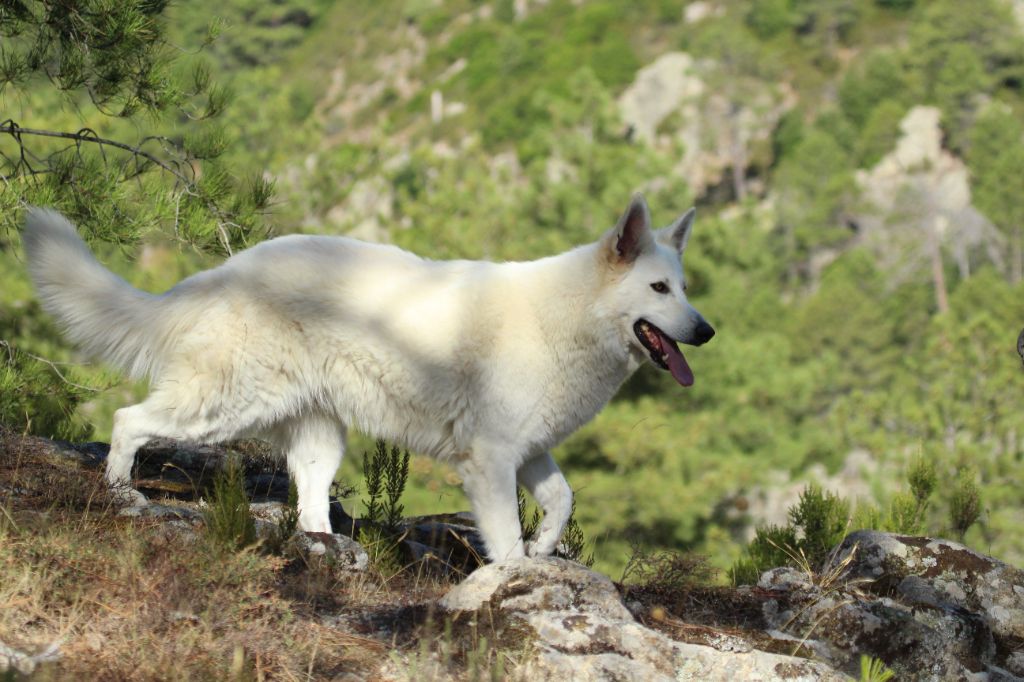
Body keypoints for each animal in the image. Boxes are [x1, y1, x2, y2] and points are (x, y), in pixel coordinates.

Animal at [22, 195, 712, 557]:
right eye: (659, 288)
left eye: (684, 287)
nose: (706, 331)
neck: (568, 316)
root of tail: (222, 273)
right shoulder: (490, 460)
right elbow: (506, 538)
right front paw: (513, 578)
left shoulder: (529, 451)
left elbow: (563, 501)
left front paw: (544, 553)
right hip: (222, 404)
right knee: (128, 419)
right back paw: (119, 493)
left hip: (318, 433)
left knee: (308, 498)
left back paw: (327, 550)